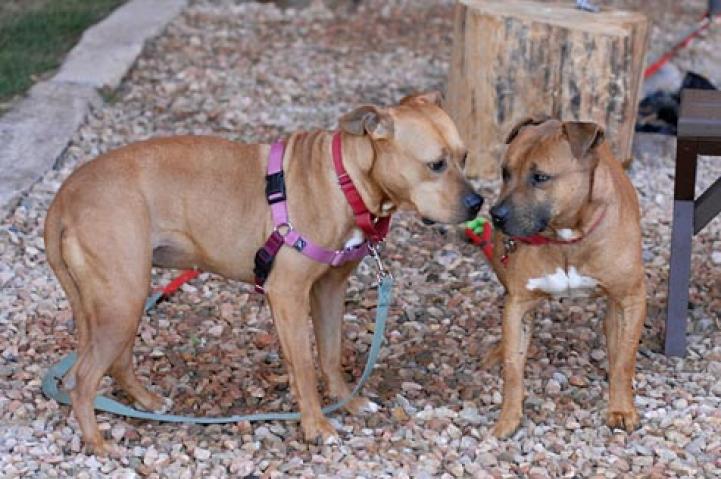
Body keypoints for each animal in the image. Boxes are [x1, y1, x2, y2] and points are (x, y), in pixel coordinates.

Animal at [45, 93, 484, 454]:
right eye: (435, 165)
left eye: (465, 157)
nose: (477, 203)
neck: (345, 180)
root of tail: (64, 196)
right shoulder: (288, 295)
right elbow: (304, 366)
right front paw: (316, 426)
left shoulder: (329, 290)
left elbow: (330, 354)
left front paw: (348, 400)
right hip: (123, 300)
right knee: (83, 379)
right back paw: (98, 445)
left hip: (117, 302)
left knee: (113, 364)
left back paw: (148, 403)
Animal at [484, 116, 648, 438]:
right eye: (505, 172)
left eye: (540, 177)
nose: (496, 215)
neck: (567, 237)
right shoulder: (518, 304)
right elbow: (513, 368)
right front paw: (508, 418)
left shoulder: (631, 297)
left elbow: (624, 360)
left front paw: (621, 408)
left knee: (618, 339)